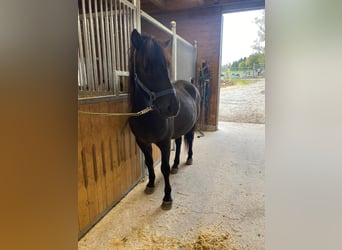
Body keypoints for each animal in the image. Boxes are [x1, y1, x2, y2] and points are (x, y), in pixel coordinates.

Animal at [128, 28, 200, 209]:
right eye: (146, 65)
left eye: (167, 65)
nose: (173, 107)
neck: (147, 116)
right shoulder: (142, 142)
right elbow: (149, 163)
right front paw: (150, 184)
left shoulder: (165, 142)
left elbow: (164, 168)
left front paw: (167, 197)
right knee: (180, 142)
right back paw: (176, 165)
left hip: (192, 125)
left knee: (190, 140)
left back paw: (189, 159)